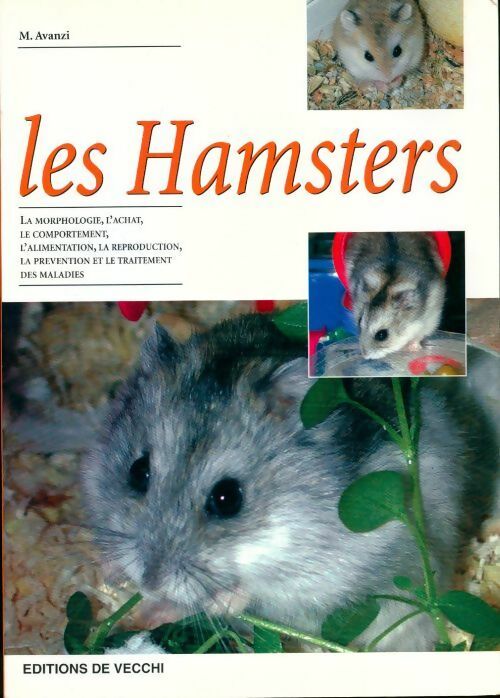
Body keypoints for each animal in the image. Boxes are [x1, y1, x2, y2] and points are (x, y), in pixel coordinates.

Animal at [82, 314, 495, 652]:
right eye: (138, 472)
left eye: (227, 498)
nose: (149, 584)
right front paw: (112, 573)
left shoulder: (337, 566)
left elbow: (257, 590)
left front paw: (219, 601)